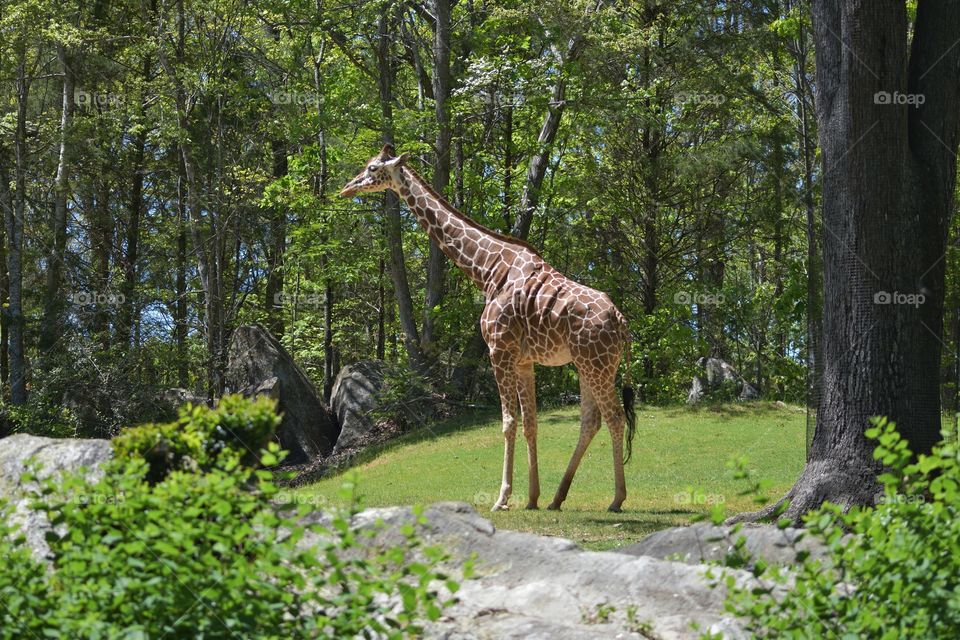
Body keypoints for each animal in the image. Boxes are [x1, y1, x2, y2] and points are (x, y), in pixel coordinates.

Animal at [340, 144, 637, 512]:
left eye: (372, 168)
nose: (346, 188)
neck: (487, 269)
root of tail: (622, 322)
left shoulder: (499, 350)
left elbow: (508, 423)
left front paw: (502, 498)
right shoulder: (524, 360)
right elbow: (530, 424)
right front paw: (532, 498)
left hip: (597, 365)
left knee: (614, 418)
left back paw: (616, 499)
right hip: (588, 365)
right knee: (590, 421)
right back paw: (557, 498)